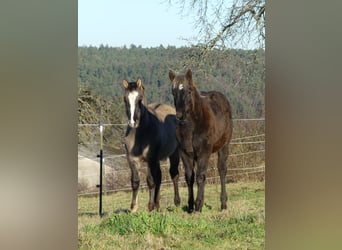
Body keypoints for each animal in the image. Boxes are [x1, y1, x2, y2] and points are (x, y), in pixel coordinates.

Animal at [123, 77, 182, 211]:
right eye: (125, 99)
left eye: (139, 99)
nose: (133, 122)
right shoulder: (132, 160)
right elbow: (135, 182)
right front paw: (133, 208)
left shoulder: (150, 159)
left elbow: (150, 181)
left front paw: (150, 207)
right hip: (157, 160)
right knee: (159, 178)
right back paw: (157, 205)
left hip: (174, 155)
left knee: (174, 175)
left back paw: (176, 202)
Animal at [168, 69, 232, 213]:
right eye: (173, 91)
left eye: (189, 90)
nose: (179, 115)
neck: (193, 126)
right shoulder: (185, 153)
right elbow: (190, 177)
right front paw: (191, 205)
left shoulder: (204, 152)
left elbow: (200, 176)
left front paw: (198, 205)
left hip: (224, 146)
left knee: (222, 170)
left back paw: (223, 204)